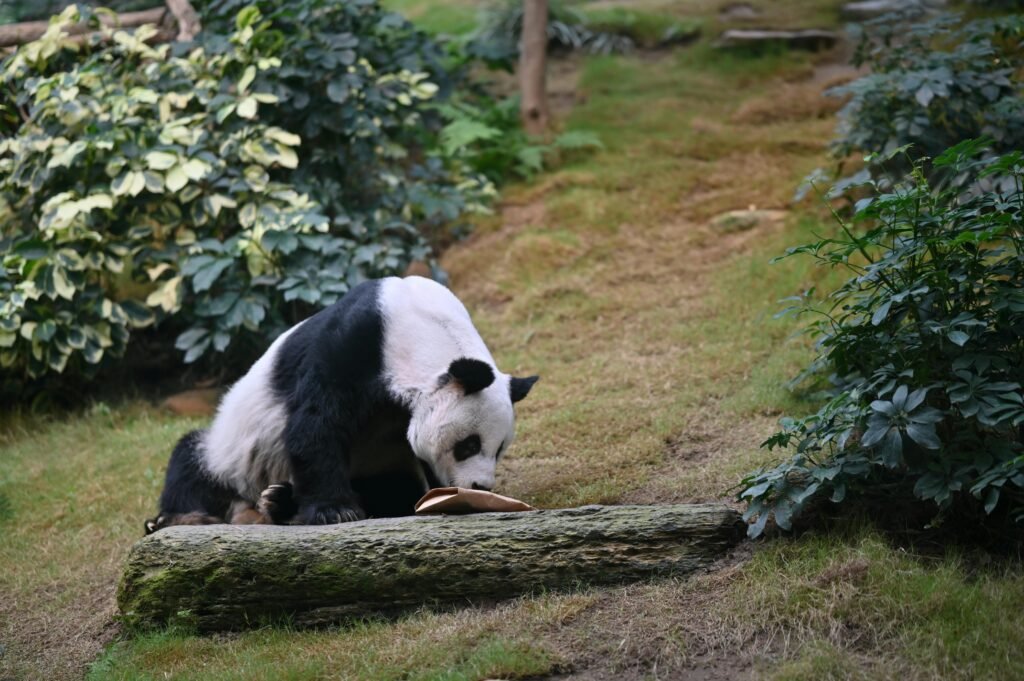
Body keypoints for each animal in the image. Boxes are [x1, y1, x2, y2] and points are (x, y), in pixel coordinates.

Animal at [145, 276, 539, 533]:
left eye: (499, 449)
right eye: (467, 445)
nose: (480, 487)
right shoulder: (356, 345)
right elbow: (317, 423)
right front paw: (335, 512)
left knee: (390, 488)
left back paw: (279, 502)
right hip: (230, 453)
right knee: (192, 463)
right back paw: (184, 517)